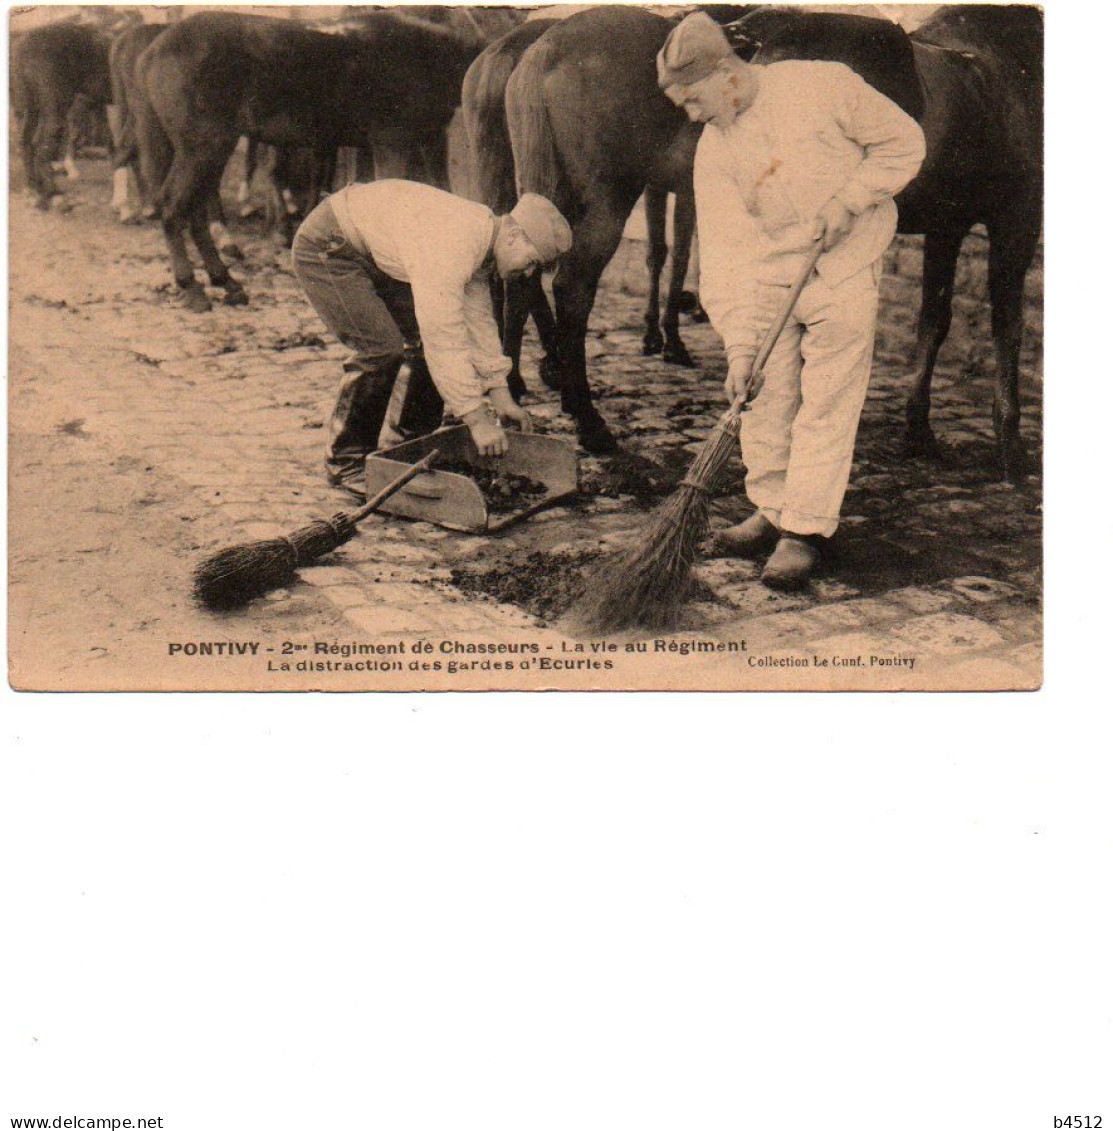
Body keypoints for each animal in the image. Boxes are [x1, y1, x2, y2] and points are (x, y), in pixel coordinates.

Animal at [10, 24, 111, 210]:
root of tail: (22, 49)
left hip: (29, 110)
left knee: (26, 144)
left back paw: (35, 187)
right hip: (55, 111)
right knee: (42, 148)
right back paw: (51, 194)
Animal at [134, 13, 481, 314]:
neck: (425, 57)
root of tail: (153, 50)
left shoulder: (430, 141)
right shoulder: (391, 142)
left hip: (211, 149)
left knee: (195, 212)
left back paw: (226, 281)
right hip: (202, 147)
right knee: (173, 208)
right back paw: (191, 287)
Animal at [508, 4, 1040, 475]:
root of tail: (547, 45)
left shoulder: (947, 227)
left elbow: (934, 321)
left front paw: (919, 430)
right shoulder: (1016, 221)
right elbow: (1007, 326)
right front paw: (1009, 444)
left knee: (523, 275)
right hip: (606, 200)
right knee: (572, 290)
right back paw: (587, 419)